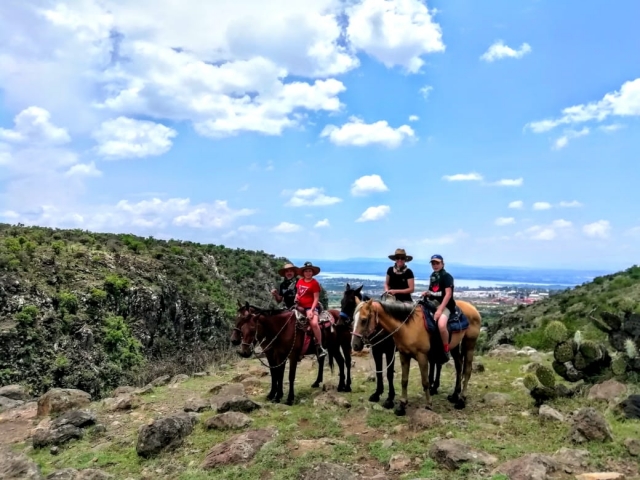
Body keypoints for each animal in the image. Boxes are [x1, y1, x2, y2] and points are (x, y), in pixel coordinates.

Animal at [351, 296, 481, 415]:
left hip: (469, 343)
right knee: (459, 366)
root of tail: (473, 308)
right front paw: (402, 405)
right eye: (353, 320)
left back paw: (461, 400)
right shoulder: (403, 355)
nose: (355, 345)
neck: (407, 327)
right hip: (454, 346)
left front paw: (428, 404)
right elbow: (404, 380)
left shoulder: (421, 356)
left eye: (364, 320)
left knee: (467, 370)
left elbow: (425, 381)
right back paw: (454, 395)